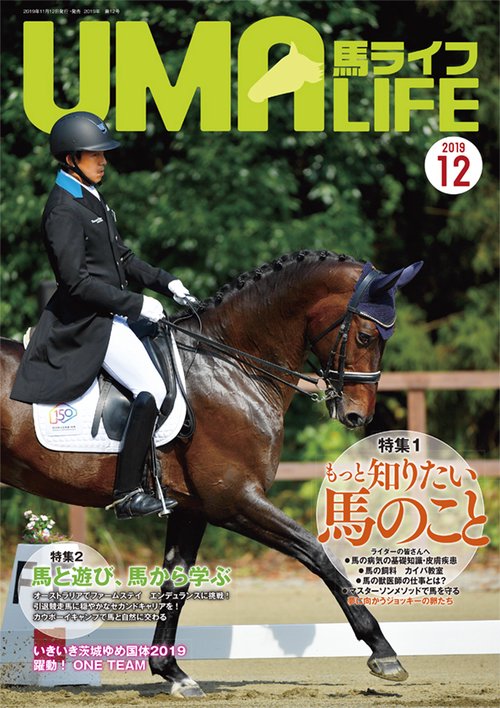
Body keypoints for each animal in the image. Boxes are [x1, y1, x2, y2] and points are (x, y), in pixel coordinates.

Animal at [1, 250, 419, 697]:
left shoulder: (193, 509)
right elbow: (317, 553)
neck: (233, 365)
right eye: (366, 337)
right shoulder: (235, 500)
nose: (359, 416)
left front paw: (171, 671)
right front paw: (383, 652)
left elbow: (177, 583)